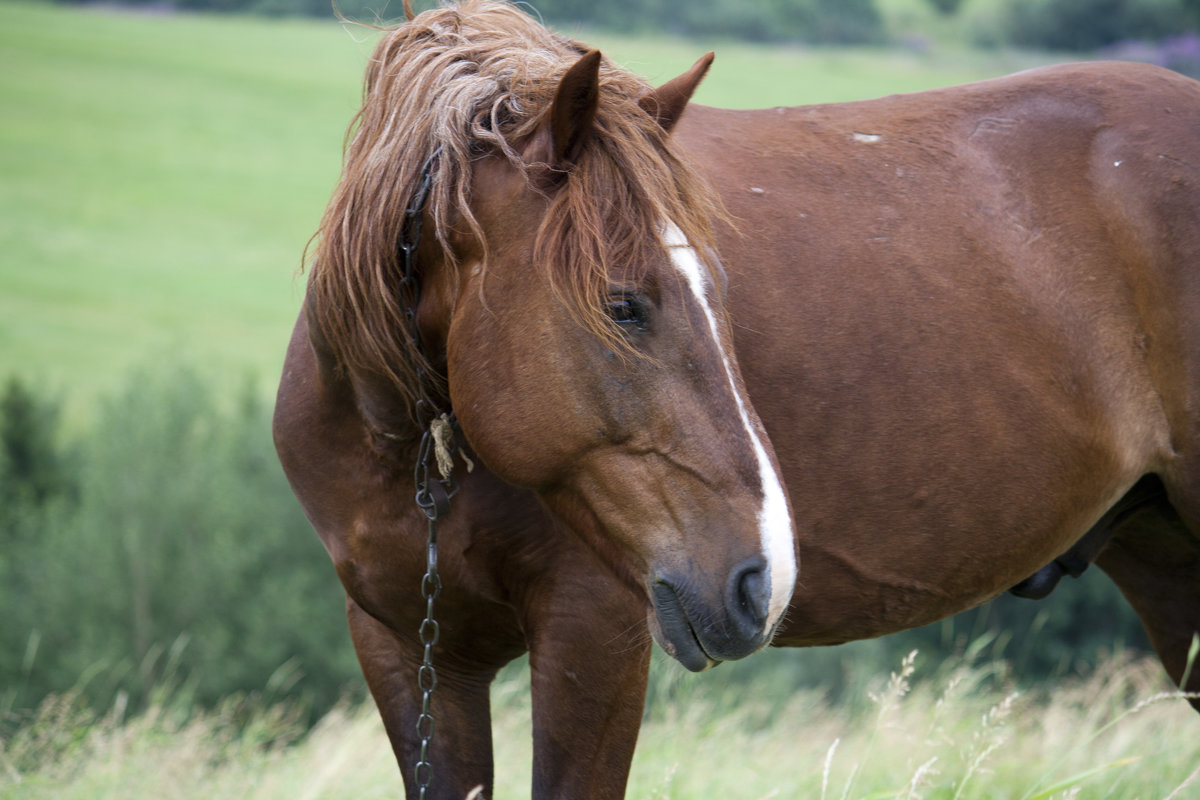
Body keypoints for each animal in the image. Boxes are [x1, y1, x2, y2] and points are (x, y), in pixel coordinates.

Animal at [272, 3, 1200, 796]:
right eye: (624, 304)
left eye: (717, 289)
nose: (764, 577)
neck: (414, 453)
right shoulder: (408, 650)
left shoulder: (593, 633)